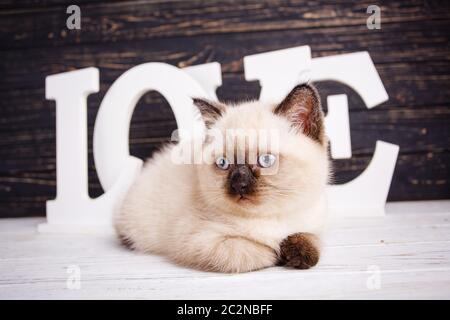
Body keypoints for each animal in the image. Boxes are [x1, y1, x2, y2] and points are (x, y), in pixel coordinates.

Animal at [114, 84, 328, 272]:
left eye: (265, 160)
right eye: (224, 163)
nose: (240, 185)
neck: (268, 219)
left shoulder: (311, 226)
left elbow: (309, 240)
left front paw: (298, 255)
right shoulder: (200, 241)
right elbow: (260, 252)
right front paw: (278, 253)